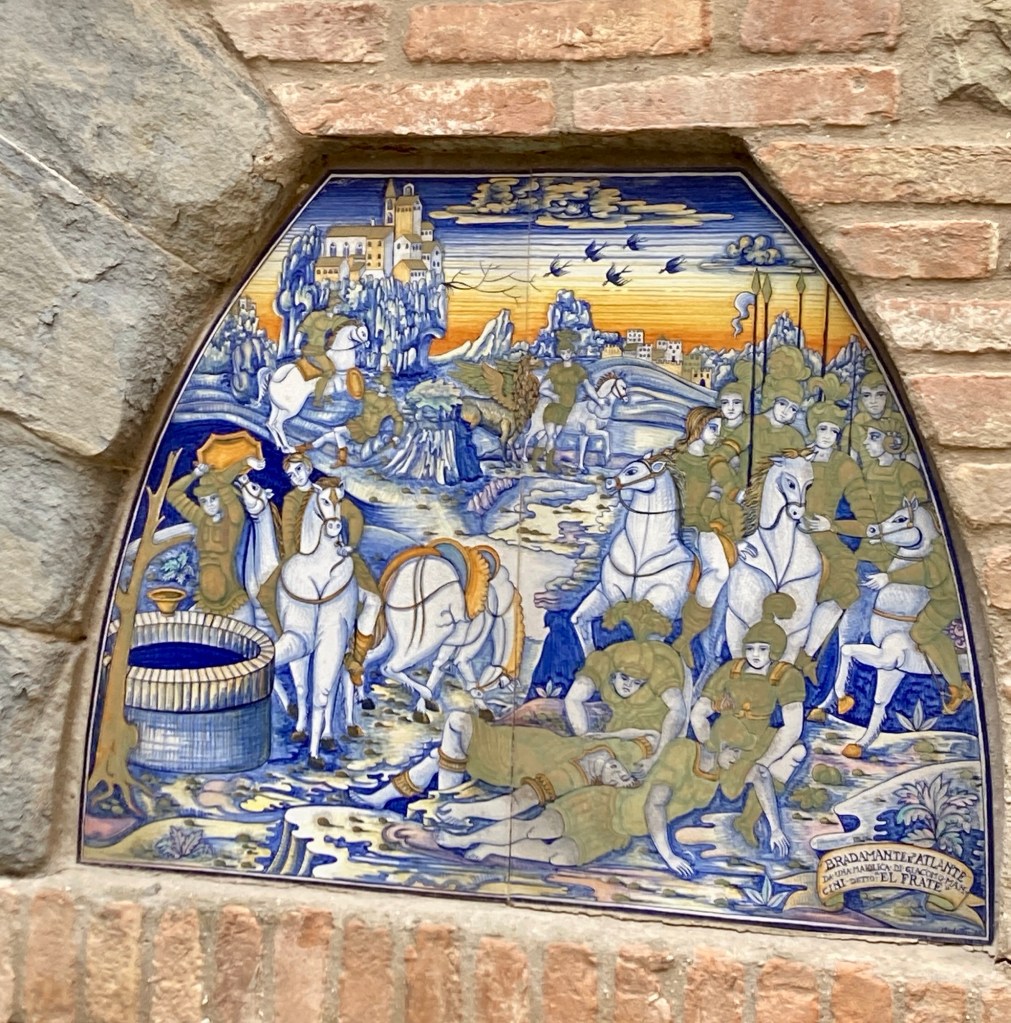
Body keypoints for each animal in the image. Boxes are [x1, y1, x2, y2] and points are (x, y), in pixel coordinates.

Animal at [257, 321, 368, 452]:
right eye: (363, 333)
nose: (367, 344)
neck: (338, 359)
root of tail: (274, 378)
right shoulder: (340, 384)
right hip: (291, 410)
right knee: (278, 424)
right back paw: (289, 447)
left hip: (275, 407)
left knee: (269, 423)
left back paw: (280, 446)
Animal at [273, 483, 360, 767]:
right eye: (323, 500)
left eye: (340, 500)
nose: (333, 527)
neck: (319, 563)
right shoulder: (298, 634)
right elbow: (302, 688)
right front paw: (300, 729)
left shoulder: (333, 635)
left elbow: (322, 692)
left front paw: (314, 753)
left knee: (338, 685)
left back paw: (331, 735)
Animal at [364, 540, 524, 722]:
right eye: (500, 683)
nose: (479, 692)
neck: (497, 599)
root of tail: (418, 568)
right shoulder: (470, 644)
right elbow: (462, 666)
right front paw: (483, 707)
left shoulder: (450, 643)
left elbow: (438, 668)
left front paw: (422, 708)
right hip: (424, 641)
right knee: (388, 668)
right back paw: (425, 693)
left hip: (391, 638)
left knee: (365, 659)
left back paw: (363, 699)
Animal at [571, 456, 695, 655]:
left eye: (632, 471)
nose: (609, 482)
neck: (643, 552)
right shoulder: (608, 592)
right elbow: (585, 619)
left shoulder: (661, 610)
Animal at [822, 498, 942, 758]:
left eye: (900, 518)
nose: (872, 529)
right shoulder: (893, 668)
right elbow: (879, 702)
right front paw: (860, 743)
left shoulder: (889, 657)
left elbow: (846, 650)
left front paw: (843, 699)